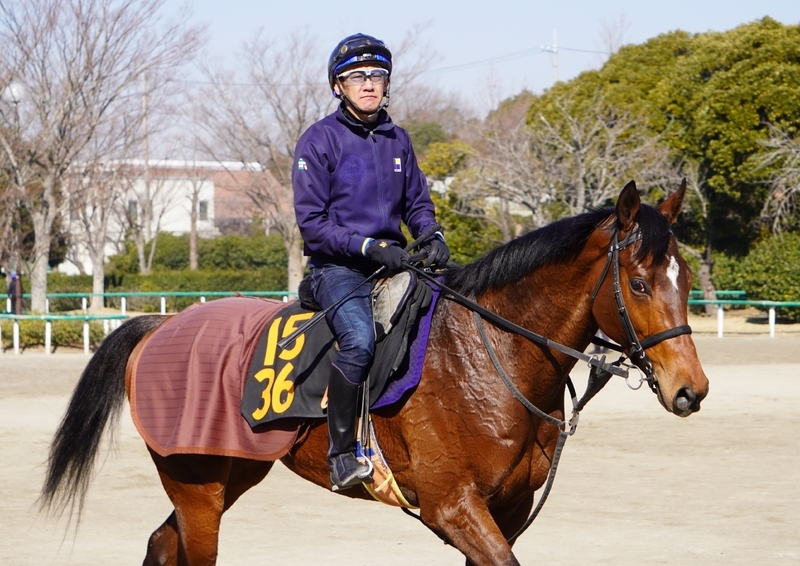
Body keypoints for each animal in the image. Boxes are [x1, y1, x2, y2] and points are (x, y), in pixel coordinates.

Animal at [40, 181, 708, 564]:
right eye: (640, 283)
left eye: (686, 281)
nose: (691, 390)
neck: (489, 354)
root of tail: (162, 324)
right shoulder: (454, 508)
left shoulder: (507, 512)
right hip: (197, 486)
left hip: (231, 475)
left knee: (162, 542)